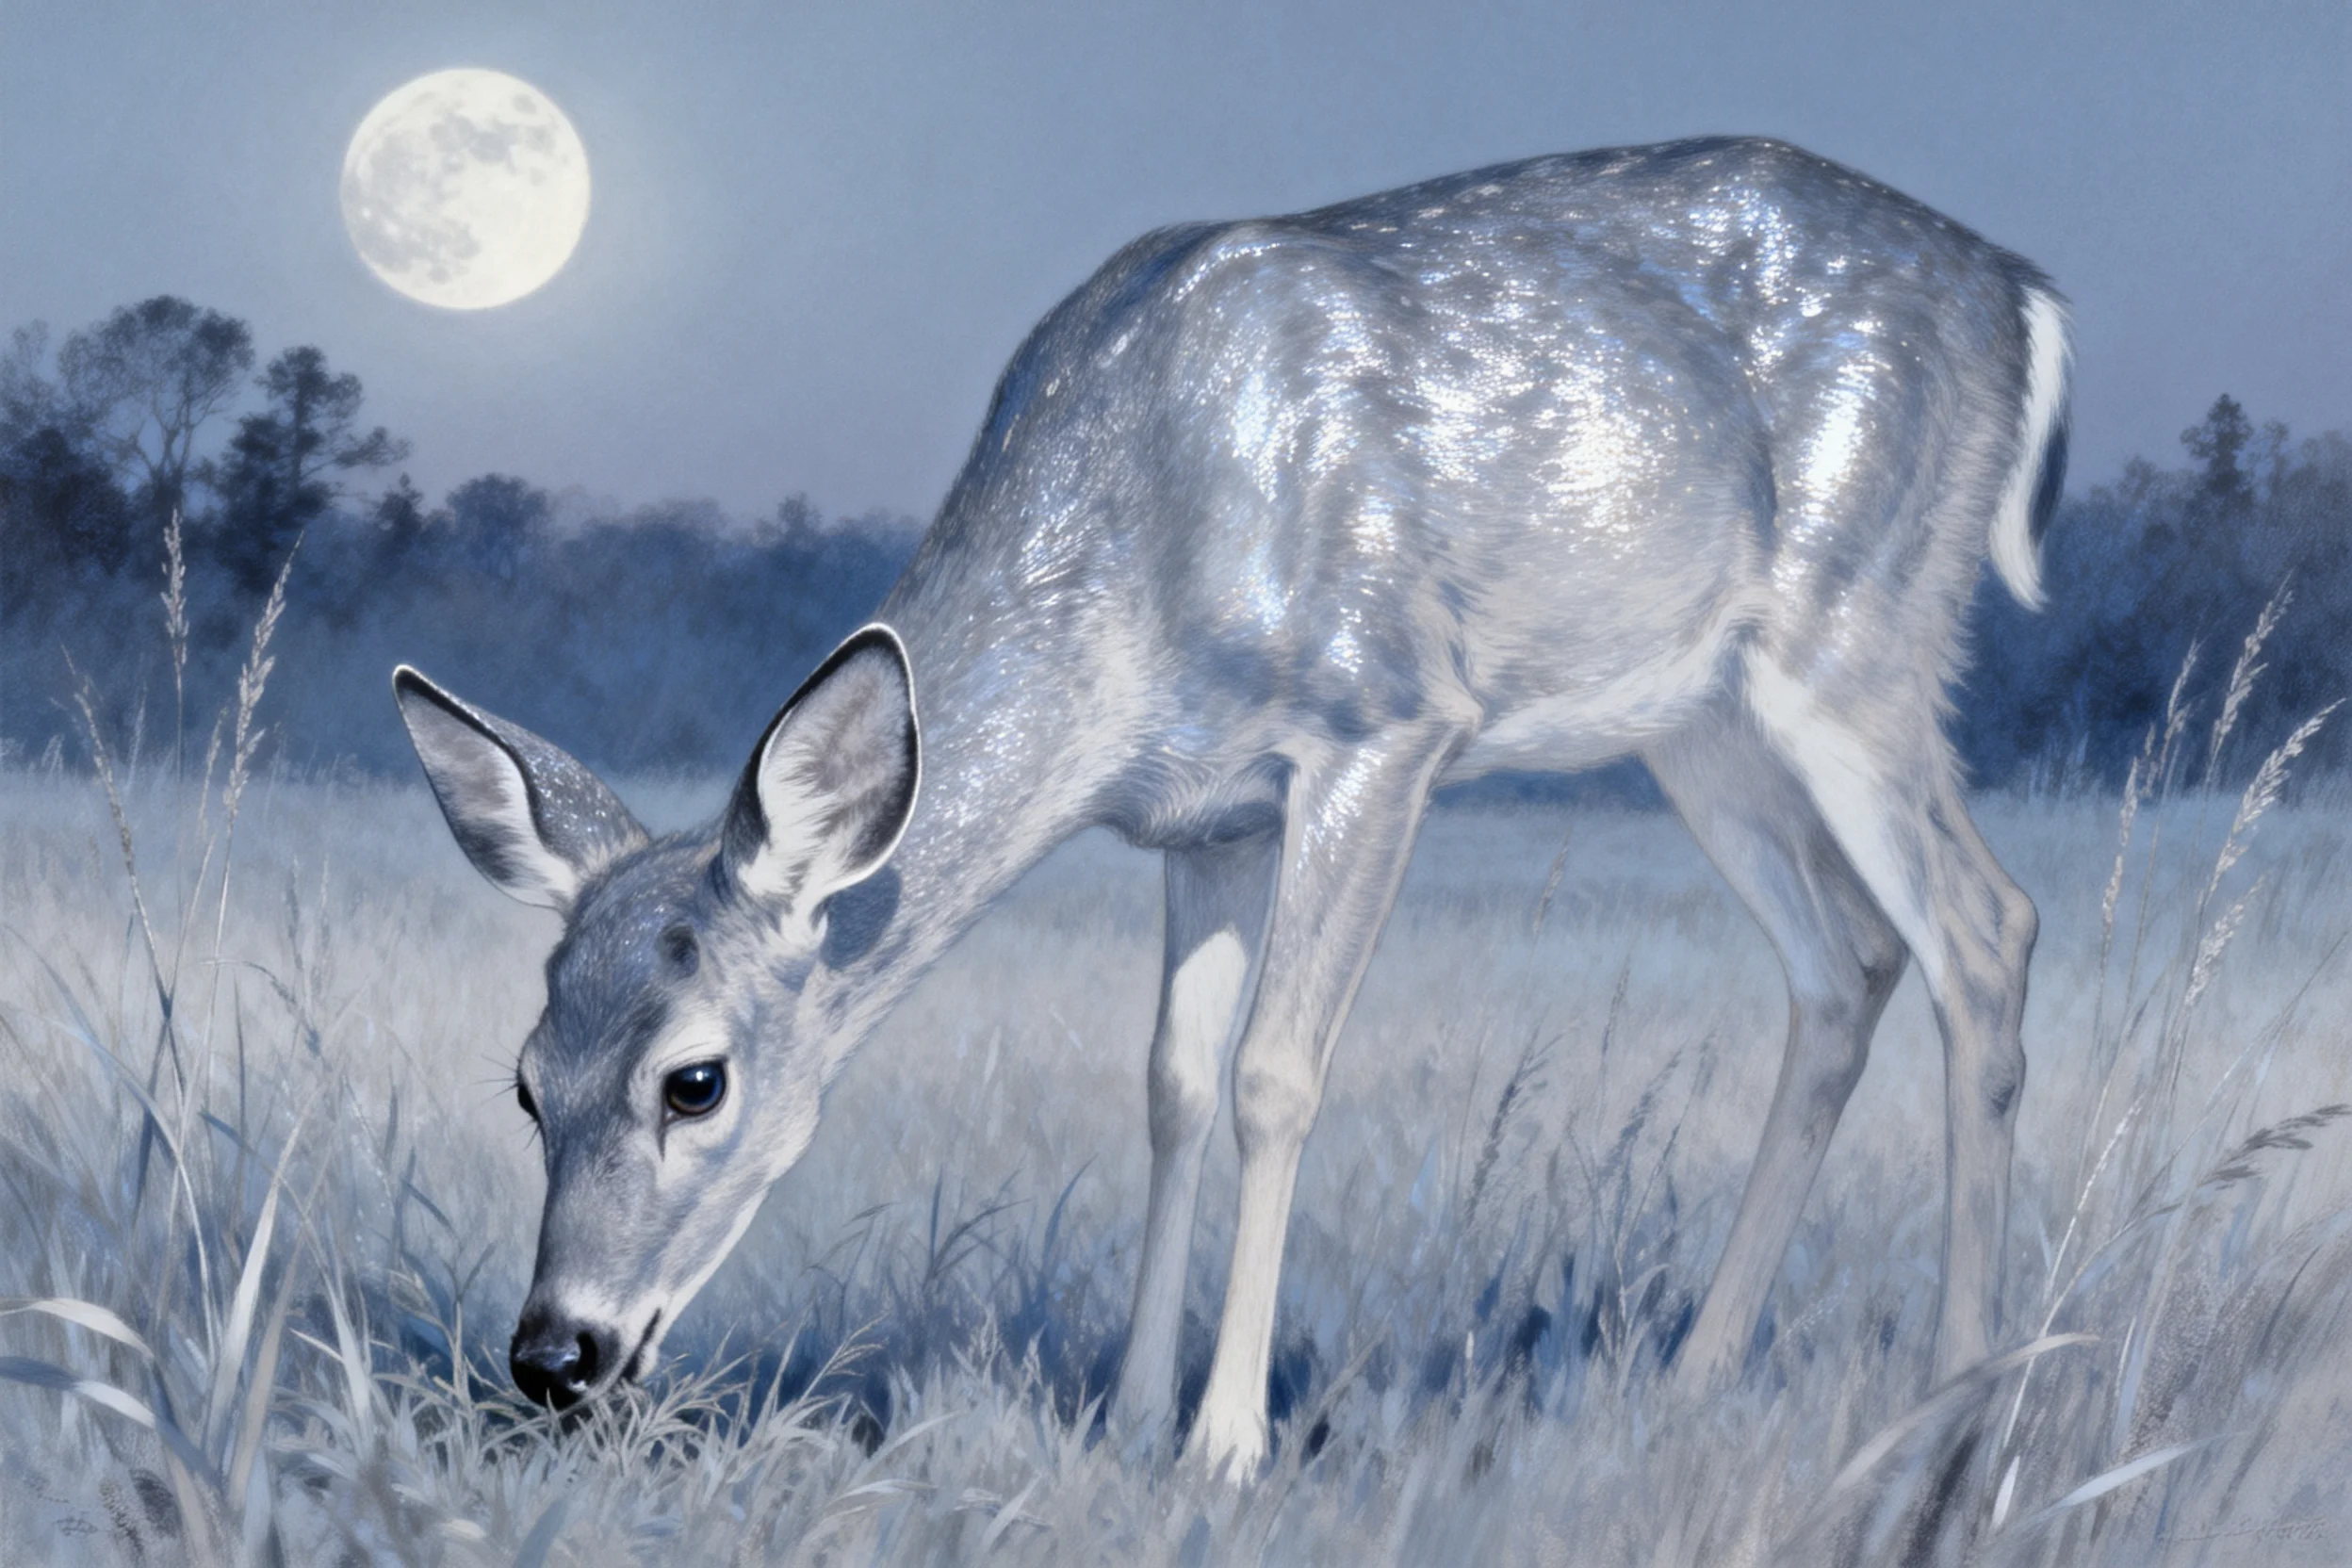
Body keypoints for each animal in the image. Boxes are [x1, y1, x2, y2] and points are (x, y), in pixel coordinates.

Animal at [392, 136, 2070, 1477]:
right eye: (527, 1082)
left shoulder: (1384, 718)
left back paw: (1964, 1388)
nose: (553, 1355)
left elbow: (1274, 1075)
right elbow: (1174, 1085)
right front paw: (1133, 1418)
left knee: (1988, 927)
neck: (1139, 569)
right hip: (1699, 723)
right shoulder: (1209, 819)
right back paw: (1698, 1376)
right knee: (1850, 960)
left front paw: (1227, 1444)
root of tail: (2026, 295)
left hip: (1863, 635)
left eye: (696, 1080)